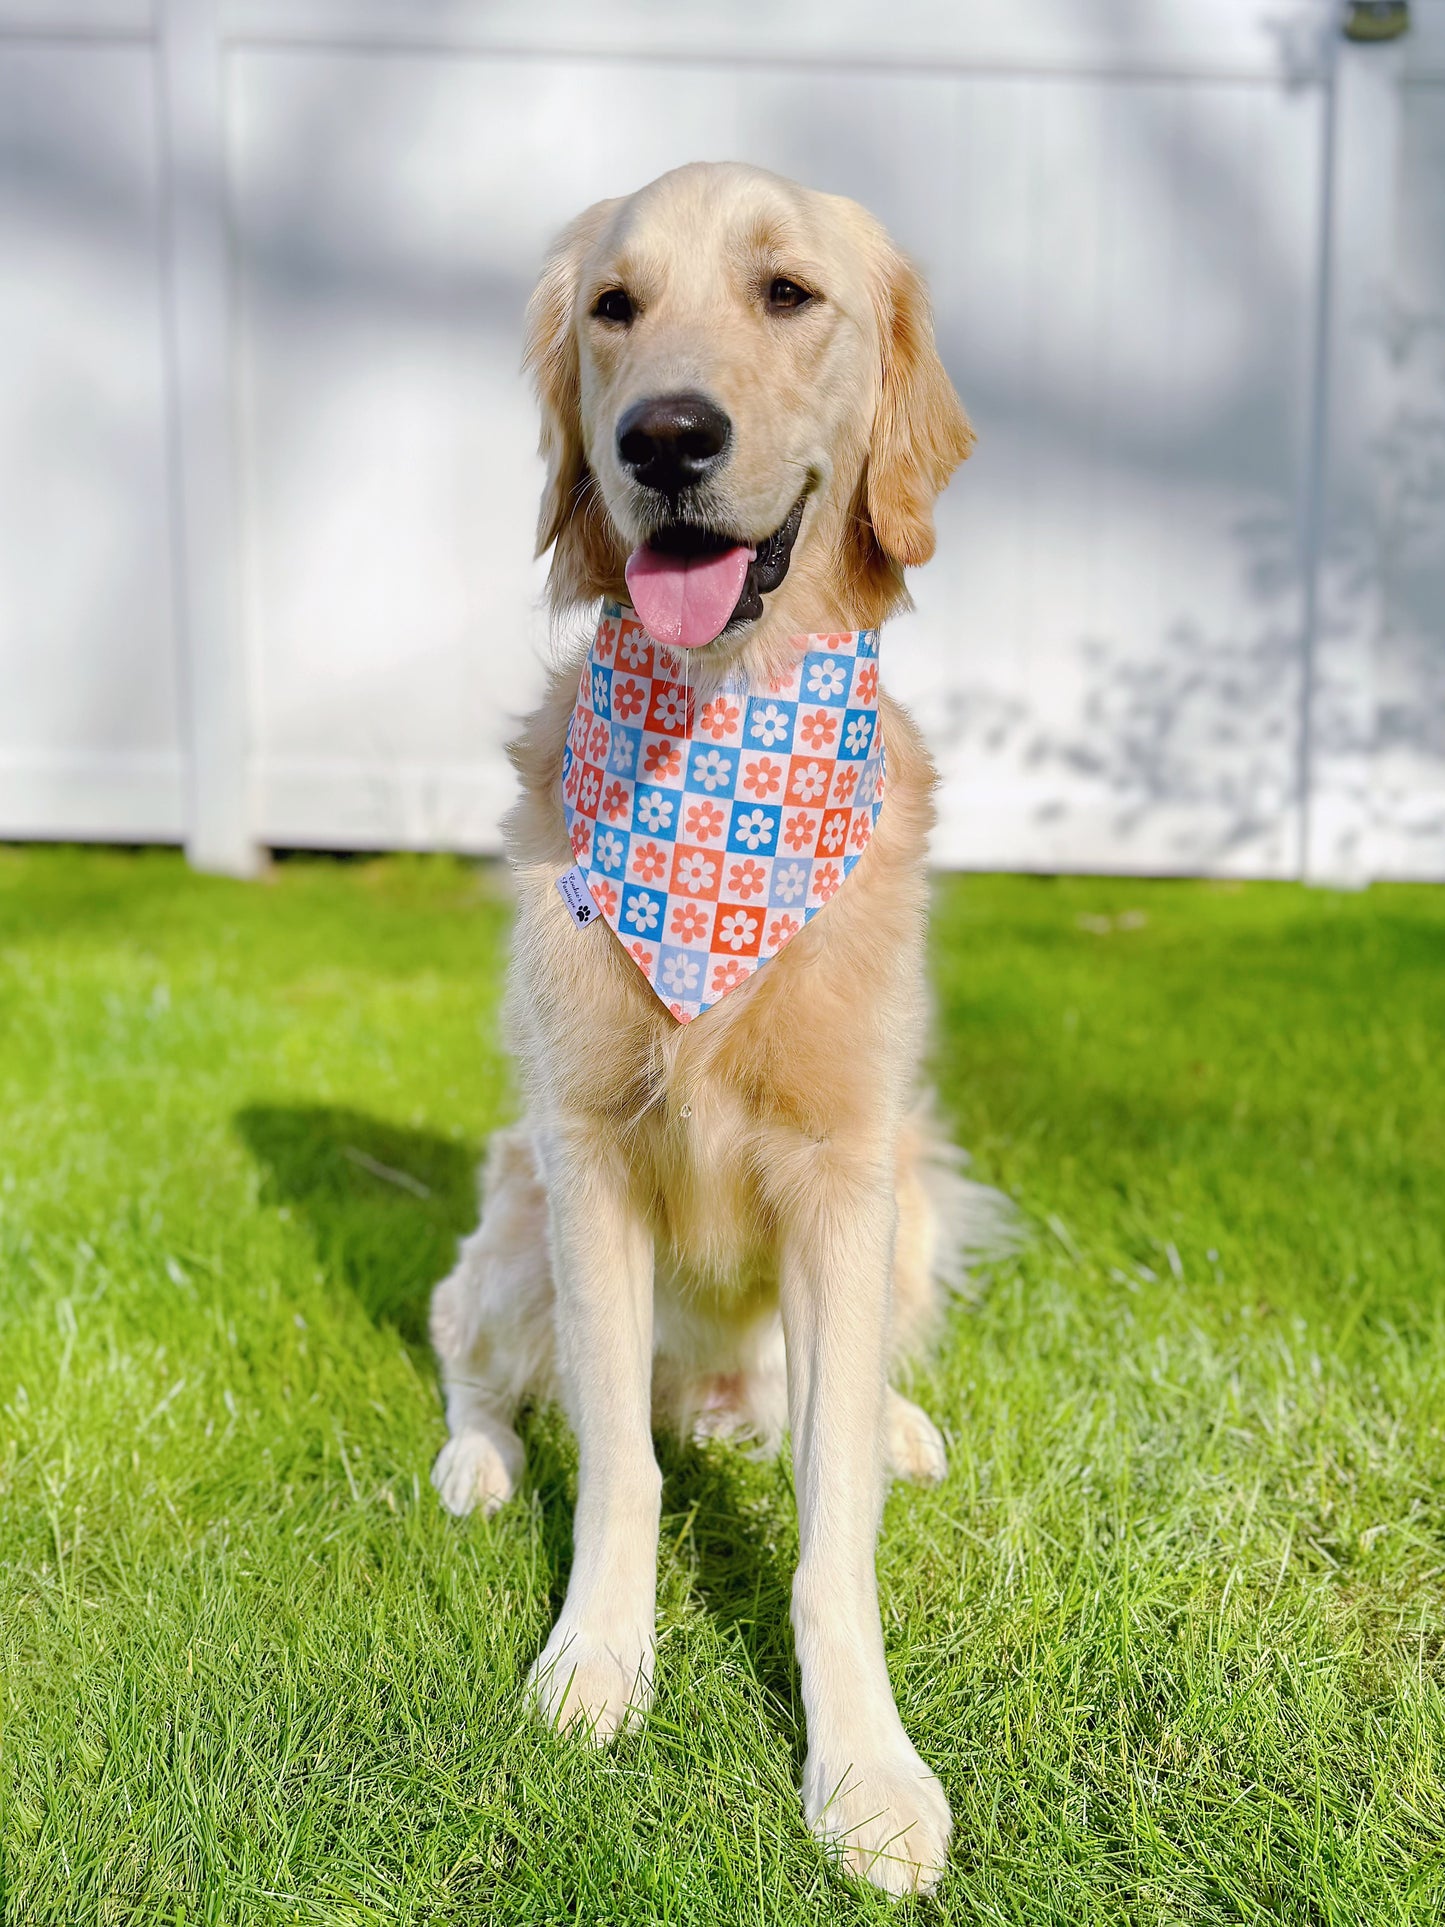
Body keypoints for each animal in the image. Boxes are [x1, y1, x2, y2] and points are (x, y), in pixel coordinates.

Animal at [423, 161, 1001, 1896]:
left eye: (787, 293)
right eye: (616, 307)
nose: (662, 438)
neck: (722, 726)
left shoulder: (845, 1165)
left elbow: (831, 1534)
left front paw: (865, 1768)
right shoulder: (590, 1158)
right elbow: (615, 1459)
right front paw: (595, 1663)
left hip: (915, 1188)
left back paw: (872, 1421)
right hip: (516, 1220)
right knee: (474, 1353)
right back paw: (479, 1461)